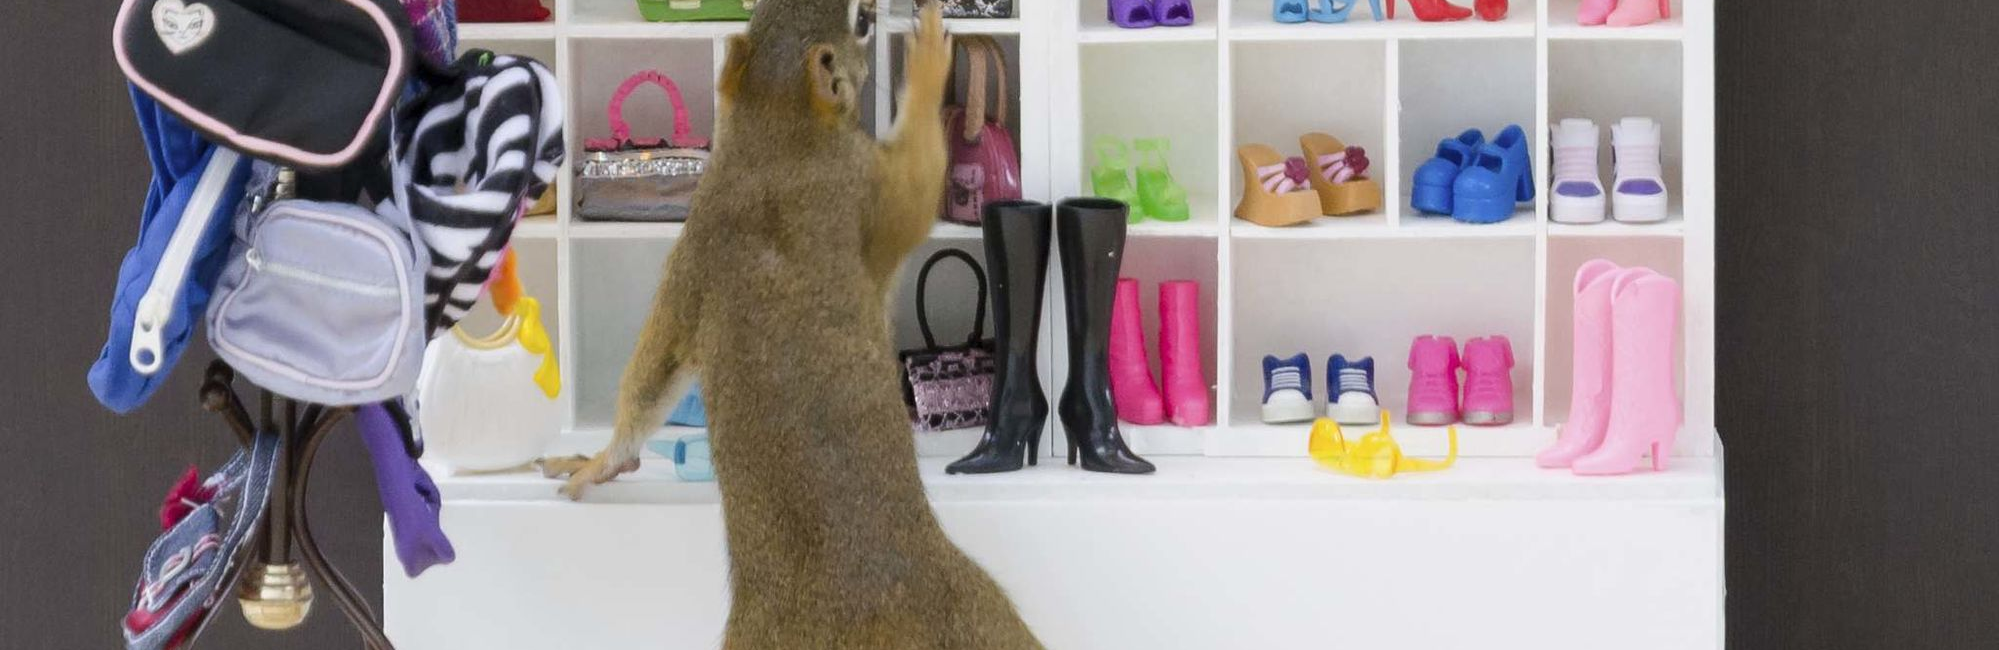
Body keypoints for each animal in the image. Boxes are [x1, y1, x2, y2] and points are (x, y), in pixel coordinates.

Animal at [540, 1, 1043, 648]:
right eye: (861, 23)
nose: (879, 12)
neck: (775, 135)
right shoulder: (862, 186)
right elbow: (913, 193)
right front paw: (930, 60)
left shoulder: (693, 253)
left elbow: (657, 367)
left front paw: (603, 459)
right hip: (983, 613)